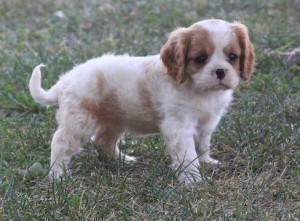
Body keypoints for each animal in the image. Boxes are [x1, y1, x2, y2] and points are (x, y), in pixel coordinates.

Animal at [29, 19, 255, 185]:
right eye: (200, 59)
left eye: (232, 57)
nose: (220, 71)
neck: (200, 90)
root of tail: (66, 79)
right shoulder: (179, 126)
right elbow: (188, 154)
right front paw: (193, 180)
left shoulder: (207, 123)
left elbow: (202, 145)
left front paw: (207, 162)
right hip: (79, 120)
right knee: (60, 142)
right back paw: (58, 177)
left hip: (113, 119)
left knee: (102, 141)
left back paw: (122, 161)